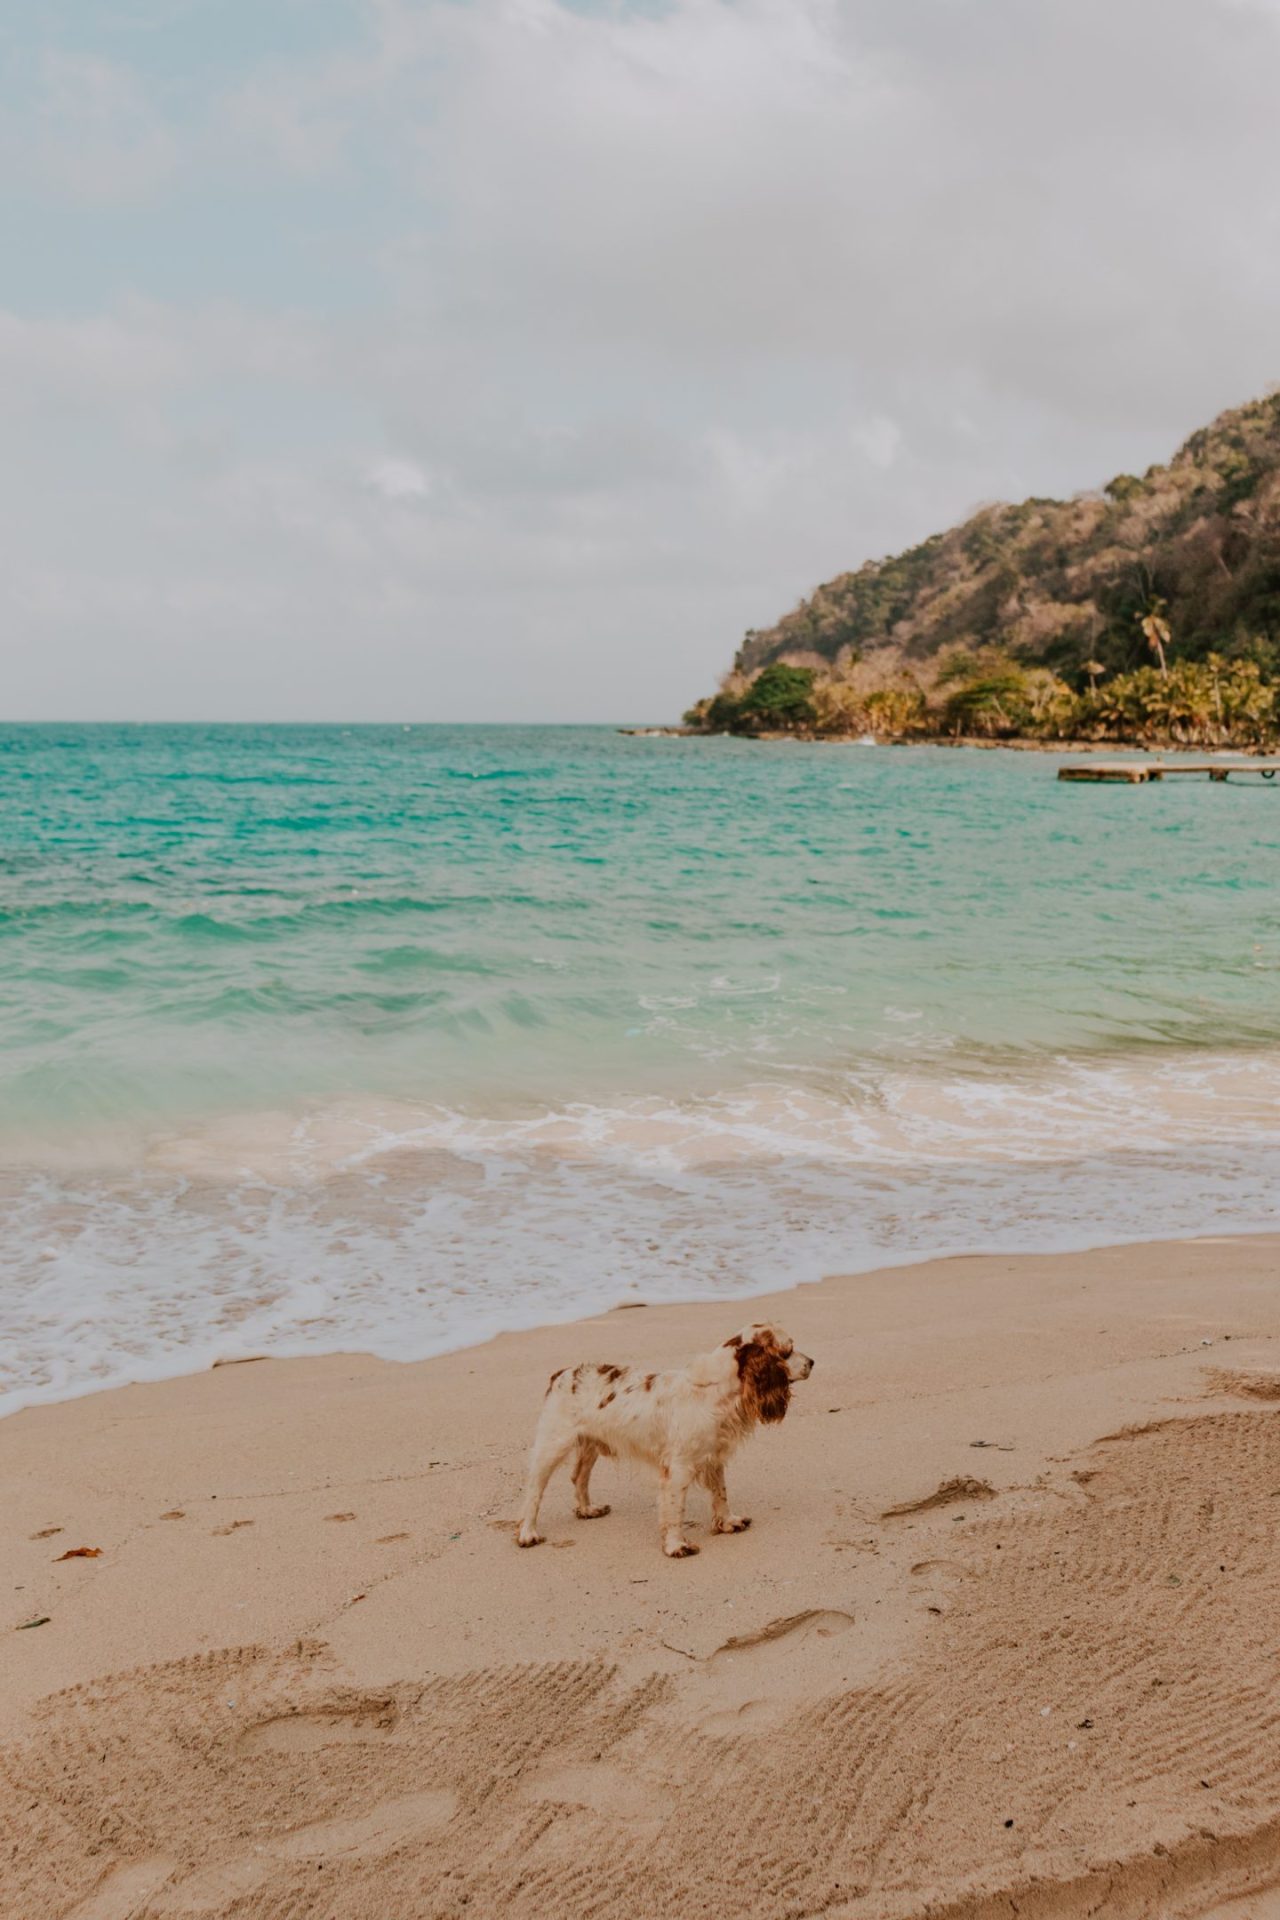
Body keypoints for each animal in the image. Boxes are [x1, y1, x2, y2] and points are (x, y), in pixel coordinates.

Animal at [518, 1320, 809, 1559]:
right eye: (788, 1351)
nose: (812, 1362)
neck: (714, 1389)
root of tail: (562, 1373)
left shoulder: (713, 1458)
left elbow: (721, 1494)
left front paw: (728, 1522)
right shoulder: (679, 1468)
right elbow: (674, 1509)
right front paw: (676, 1545)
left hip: (590, 1445)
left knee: (579, 1477)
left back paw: (587, 1509)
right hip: (553, 1445)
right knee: (534, 1491)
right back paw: (527, 1533)